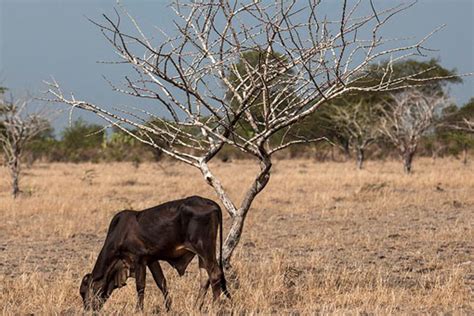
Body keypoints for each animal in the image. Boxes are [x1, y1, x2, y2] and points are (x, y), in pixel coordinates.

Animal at [79, 195, 231, 312]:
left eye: (84, 292)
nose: (88, 310)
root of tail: (210, 202)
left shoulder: (139, 259)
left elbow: (140, 286)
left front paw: (138, 310)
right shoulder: (151, 260)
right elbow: (161, 282)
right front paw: (168, 308)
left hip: (204, 248)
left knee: (215, 274)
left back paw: (214, 308)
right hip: (202, 255)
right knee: (205, 278)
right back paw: (196, 308)